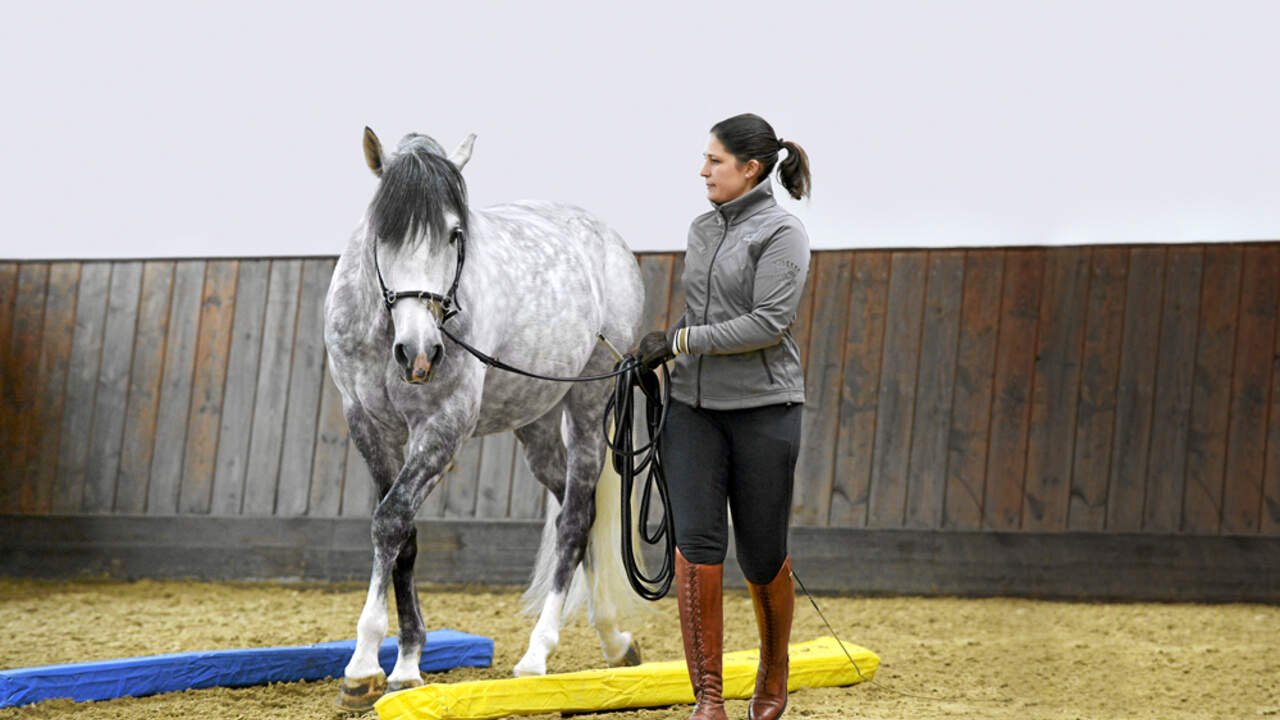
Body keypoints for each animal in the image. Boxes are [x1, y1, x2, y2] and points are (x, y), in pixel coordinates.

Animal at [325, 127, 650, 707]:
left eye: (455, 235)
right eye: (383, 234)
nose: (420, 354)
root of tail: (603, 236)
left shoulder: (443, 427)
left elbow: (390, 520)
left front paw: (362, 669)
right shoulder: (368, 425)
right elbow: (402, 533)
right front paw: (407, 664)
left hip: (589, 406)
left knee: (574, 518)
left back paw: (539, 654)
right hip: (535, 423)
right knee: (583, 512)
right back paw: (615, 641)